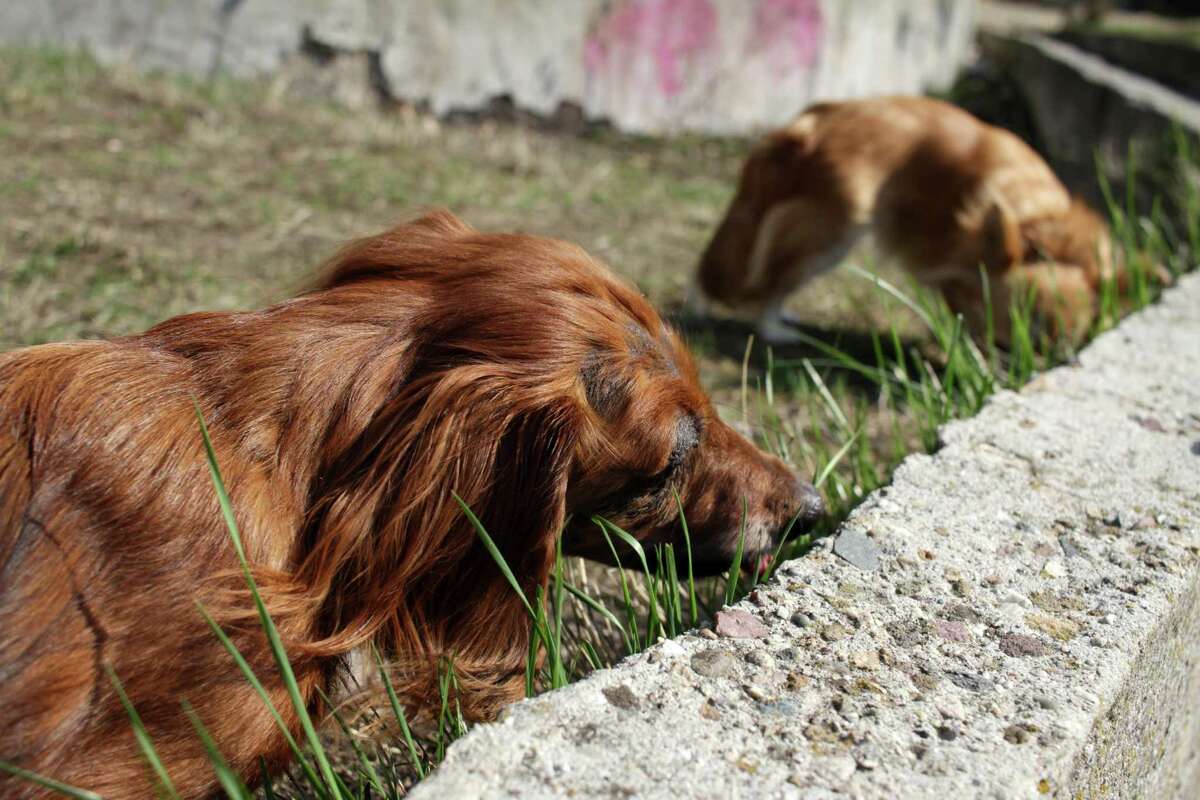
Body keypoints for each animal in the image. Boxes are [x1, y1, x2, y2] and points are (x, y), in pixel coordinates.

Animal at [696, 94, 1132, 345]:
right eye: (1009, 342)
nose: (1017, 372)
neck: (1040, 225)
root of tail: (810, 124)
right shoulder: (953, 266)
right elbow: (965, 312)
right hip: (833, 231)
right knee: (775, 277)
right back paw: (773, 328)